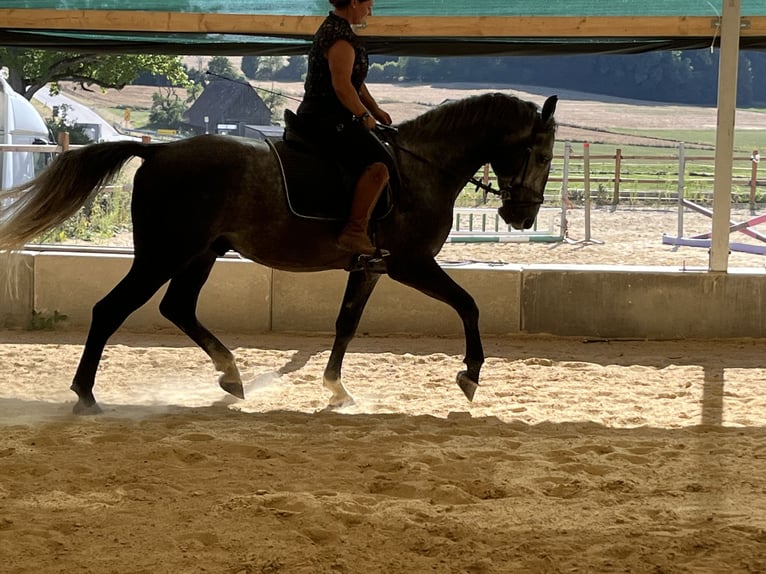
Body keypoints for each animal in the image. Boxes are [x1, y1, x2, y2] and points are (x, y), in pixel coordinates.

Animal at [0, 92, 557, 415]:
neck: (422, 167)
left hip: (200, 254)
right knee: (111, 309)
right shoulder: (411, 264)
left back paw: (231, 376)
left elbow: (346, 323)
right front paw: (470, 375)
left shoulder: (372, 268)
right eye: (541, 153)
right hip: (164, 254)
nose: (522, 217)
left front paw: (336, 390)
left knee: (177, 307)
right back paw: (86, 396)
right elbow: (469, 305)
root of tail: (157, 150)